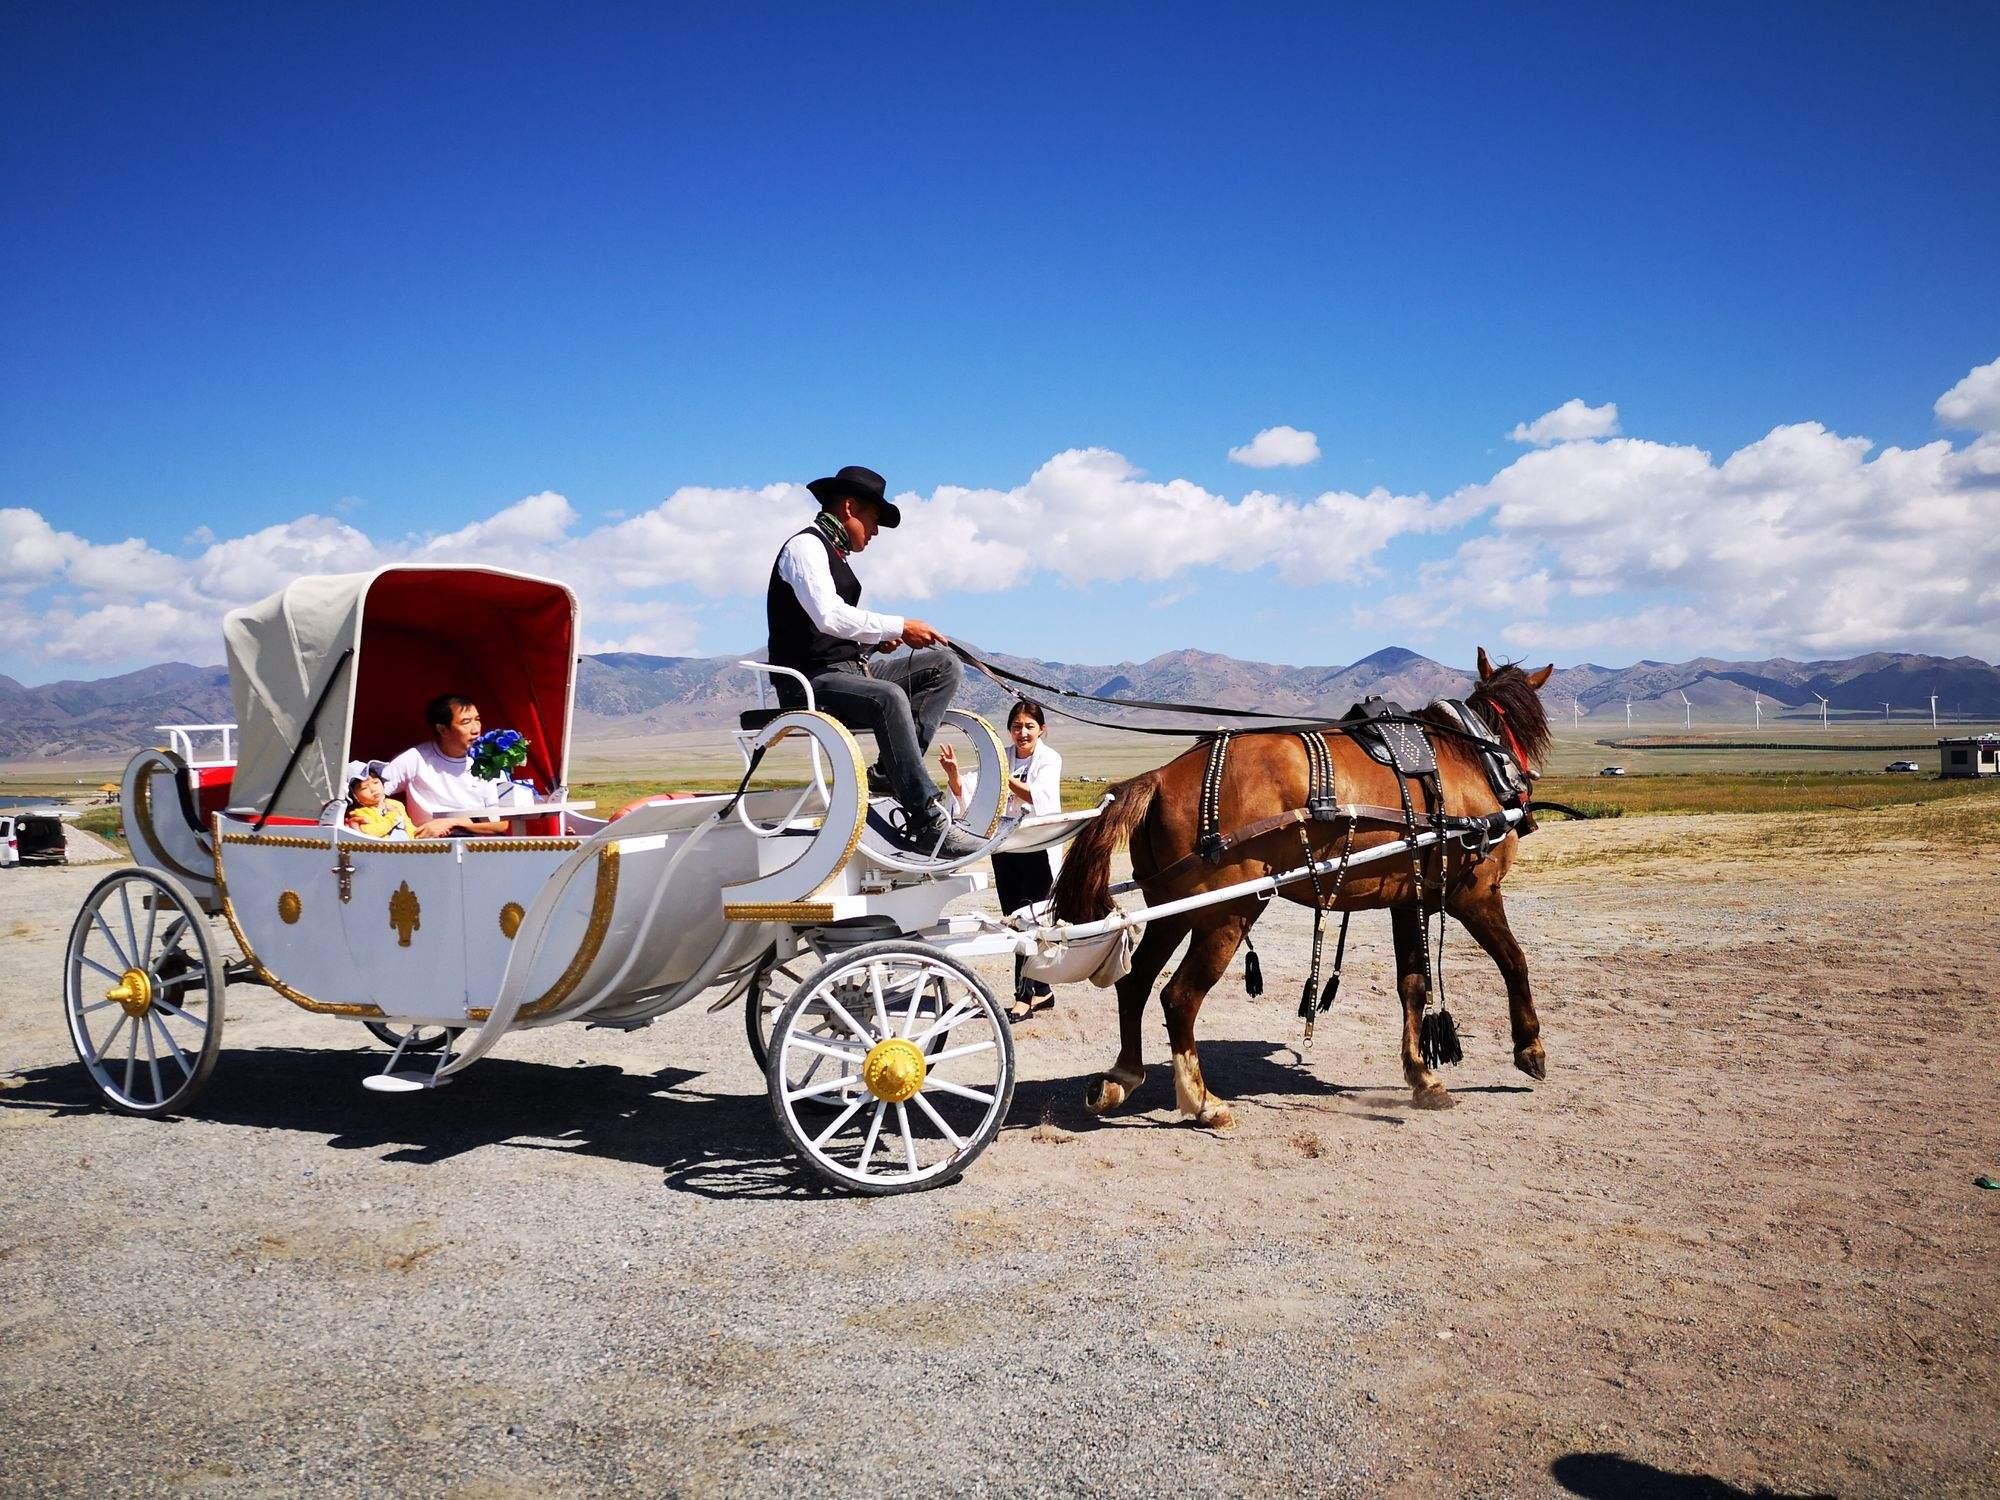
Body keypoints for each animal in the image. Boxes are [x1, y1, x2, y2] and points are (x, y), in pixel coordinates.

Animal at [1056, 648, 1552, 1128]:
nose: (1527, 789)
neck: (1468, 756)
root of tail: (1160, 778)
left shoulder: (1407, 900)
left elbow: (1412, 985)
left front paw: (1423, 1079)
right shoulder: (1475, 891)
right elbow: (1514, 960)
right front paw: (1529, 1048)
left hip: (1172, 908)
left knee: (1136, 981)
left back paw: (1121, 1077)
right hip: (1226, 913)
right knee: (1179, 997)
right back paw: (1204, 1103)